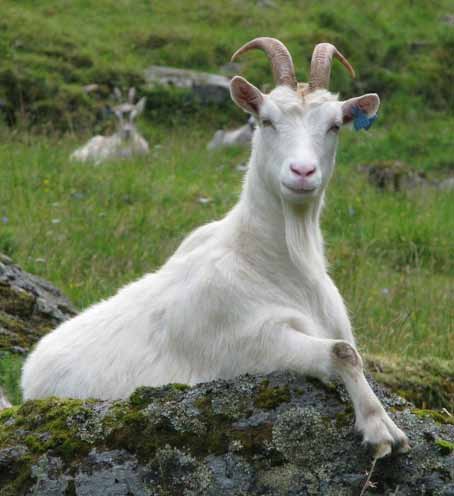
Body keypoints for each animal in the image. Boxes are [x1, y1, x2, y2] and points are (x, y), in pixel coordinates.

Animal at [23, 37, 410, 458]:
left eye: (335, 125)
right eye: (266, 120)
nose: (302, 172)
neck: (273, 261)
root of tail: (29, 370)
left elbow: (350, 350)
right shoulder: (251, 344)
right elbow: (342, 352)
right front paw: (380, 429)